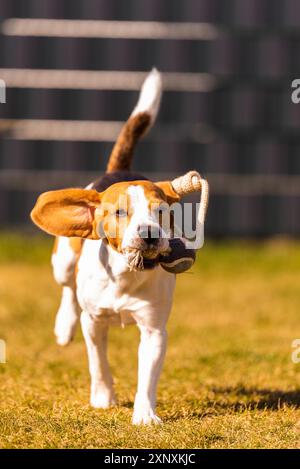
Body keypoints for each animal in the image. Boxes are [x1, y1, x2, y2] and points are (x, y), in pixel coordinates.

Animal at [31, 70, 209, 424]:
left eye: (162, 211)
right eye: (119, 213)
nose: (149, 235)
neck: (127, 274)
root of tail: (118, 170)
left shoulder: (155, 331)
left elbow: (147, 376)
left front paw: (145, 415)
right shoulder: (94, 322)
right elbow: (98, 362)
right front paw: (103, 398)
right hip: (63, 263)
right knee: (68, 290)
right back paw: (64, 325)